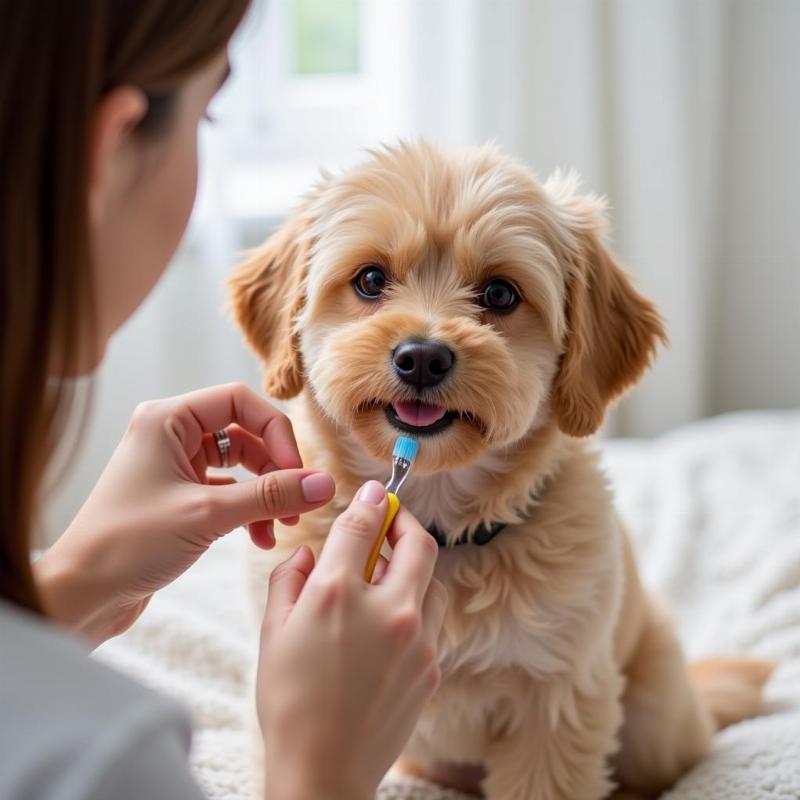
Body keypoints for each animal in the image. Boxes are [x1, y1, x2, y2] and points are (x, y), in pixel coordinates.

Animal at [228, 141, 772, 796]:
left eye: (500, 295)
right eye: (371, 280)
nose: (422, 357)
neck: (441, 518)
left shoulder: (556, 703)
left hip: (653, 711)